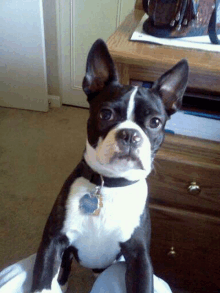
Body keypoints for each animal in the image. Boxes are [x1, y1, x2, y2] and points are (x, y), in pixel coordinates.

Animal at [31, 39, 187, 292]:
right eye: (106, 114)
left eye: (155, 122)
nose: (130, 134)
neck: (110, 185)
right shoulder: (52, 242)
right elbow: (43, 283)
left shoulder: (139, 257)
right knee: (64, 269)